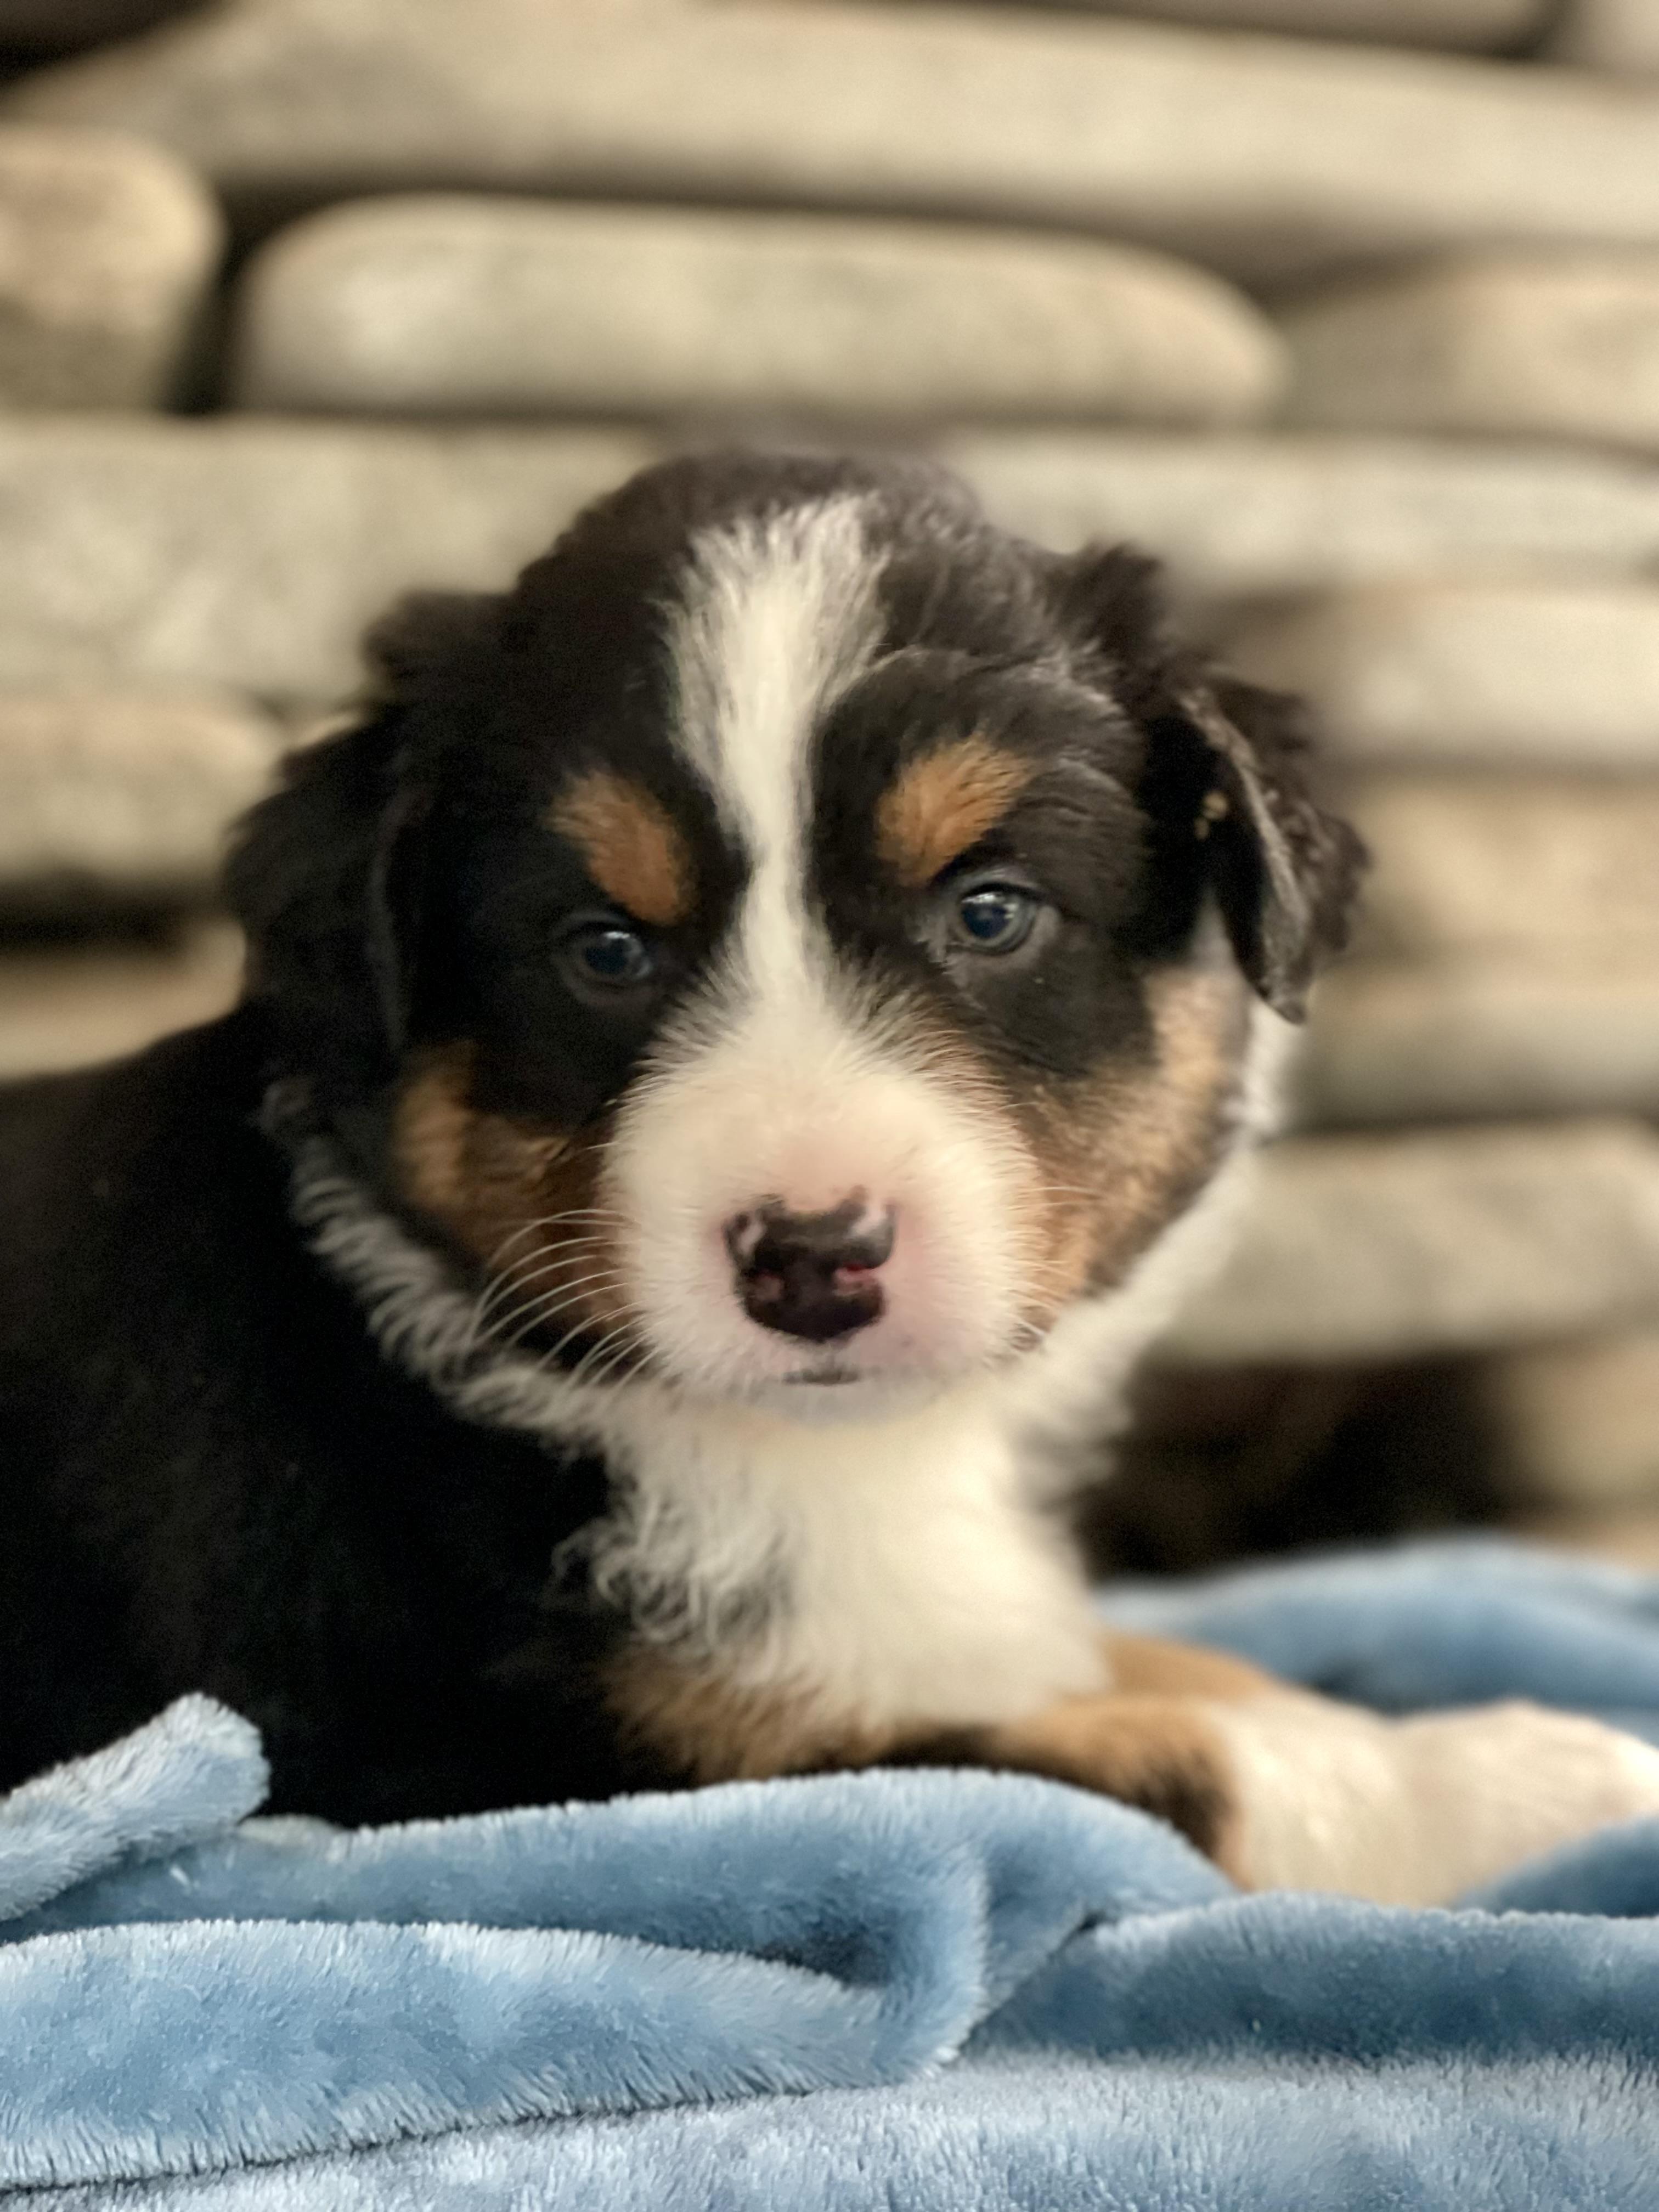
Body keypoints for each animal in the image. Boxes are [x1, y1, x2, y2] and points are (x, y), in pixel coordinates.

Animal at [4, 450, 1658, 1904]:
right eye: (606, 949)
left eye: (991, 913)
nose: (813, 1256)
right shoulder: (495, 1759)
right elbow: (1148, 1760)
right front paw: (1529, 1775)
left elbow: (1151, 1662)